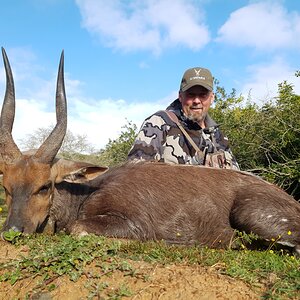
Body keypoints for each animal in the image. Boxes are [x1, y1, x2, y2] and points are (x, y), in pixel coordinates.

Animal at [0, 47, 300, 255]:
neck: (86, 193)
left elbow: (78, 229)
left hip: (252, 215)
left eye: (45, 186)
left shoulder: (133, 223)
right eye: (6, 187)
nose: (12, 232)